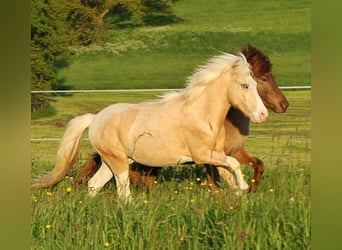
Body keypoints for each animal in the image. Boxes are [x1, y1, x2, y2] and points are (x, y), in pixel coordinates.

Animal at [32, 52, 268, 201]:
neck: (202, 115)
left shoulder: (216, 156)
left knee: (94, 185)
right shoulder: (203, 155)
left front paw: (238, 195)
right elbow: (234, 164)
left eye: (255, 84)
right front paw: (244, 188)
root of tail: (96, 118)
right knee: (123, 192)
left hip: (112, 161)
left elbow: (230, 173)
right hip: (117, 161)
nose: (262, 114)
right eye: (244, 85)